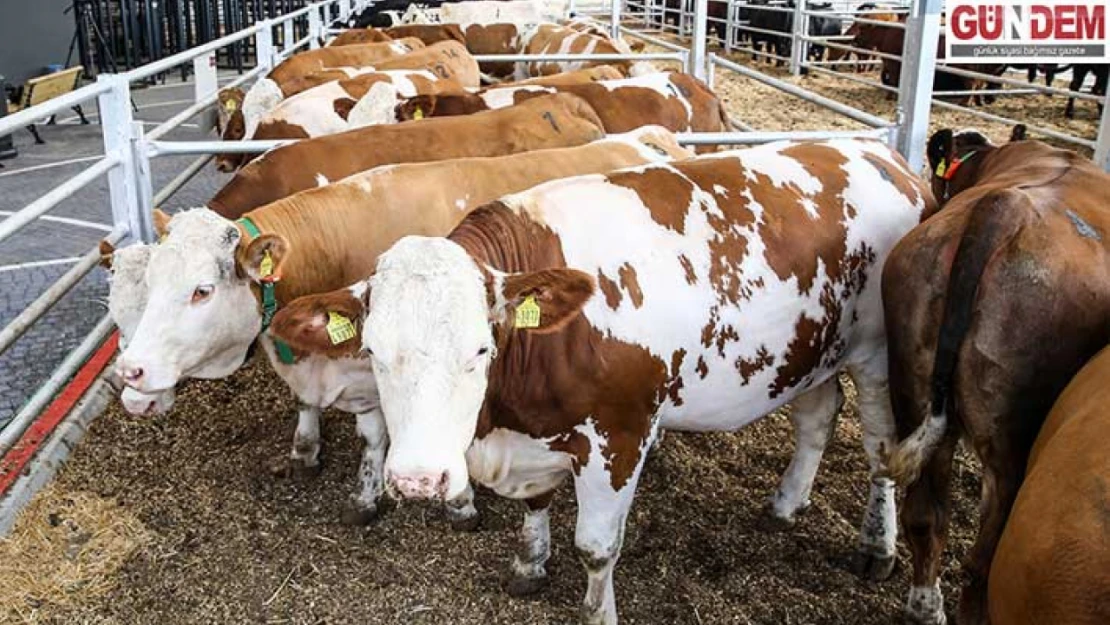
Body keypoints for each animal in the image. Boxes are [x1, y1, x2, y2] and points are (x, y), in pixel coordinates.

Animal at [270, 138, 936, 625]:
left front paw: (597, 610)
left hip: (877, 354)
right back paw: (786, 503)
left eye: (480, 348)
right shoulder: (534, 434)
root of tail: (882, 153)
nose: (417, 479)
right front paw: (530, 564)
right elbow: (536, 504)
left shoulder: (620, 433)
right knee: (818, 416)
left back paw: (877, 547)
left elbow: (595, 548)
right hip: (808, 353)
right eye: (374, 351)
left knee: (881, 449)